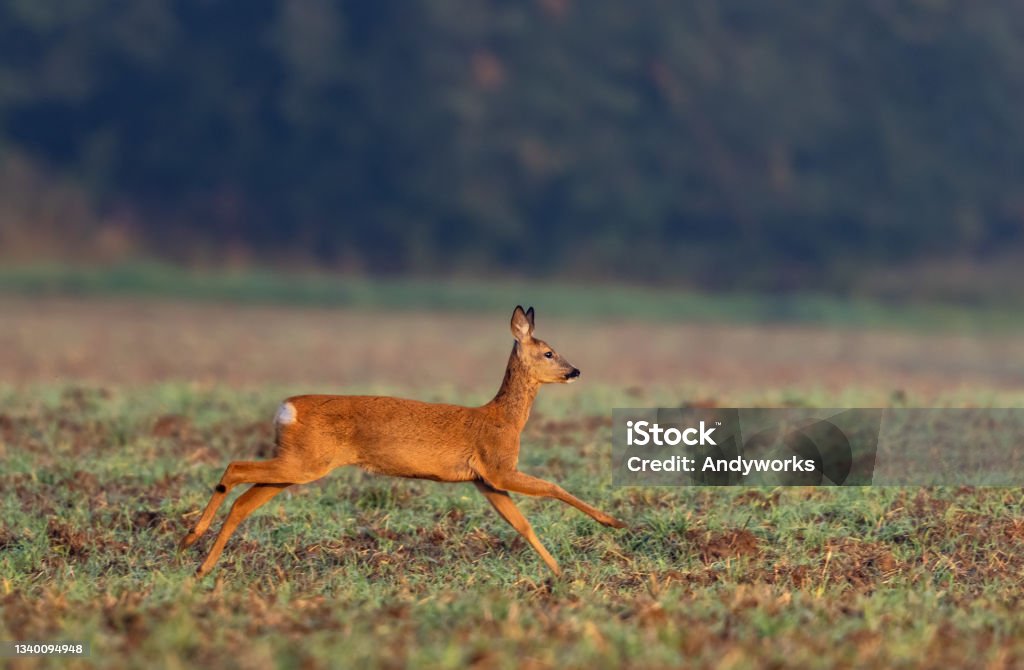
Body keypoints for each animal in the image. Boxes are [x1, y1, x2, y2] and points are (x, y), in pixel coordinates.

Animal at [180, 309, 626, 577]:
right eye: (549, 352)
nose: (575, 371)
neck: (503, 419)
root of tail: (285, 408)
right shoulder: (499, 467)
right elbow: (552, 487)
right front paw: (612, 522)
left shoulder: (485, 481)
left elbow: (523, 524)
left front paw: (561, 573)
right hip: (305, 462)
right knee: (234, 468)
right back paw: (191, 538)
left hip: (297, 465)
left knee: (244, 501)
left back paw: (201, 564)